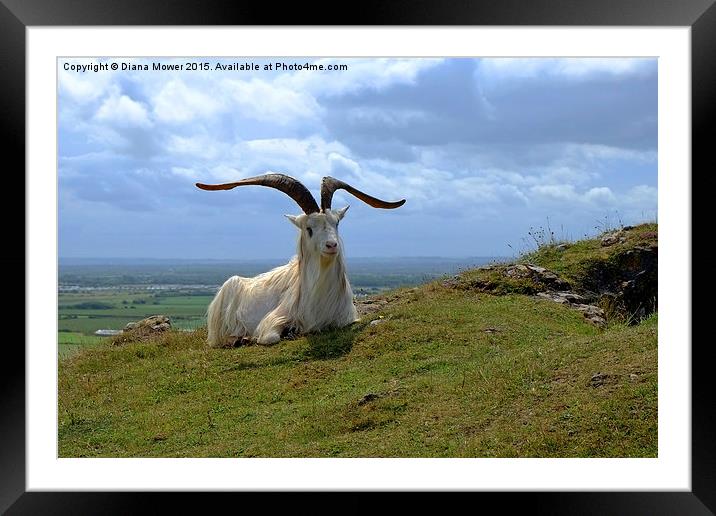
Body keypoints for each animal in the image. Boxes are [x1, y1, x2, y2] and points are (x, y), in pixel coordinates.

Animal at [194, 173, 402, 346]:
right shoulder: (273, 319)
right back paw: (238, 338)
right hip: (230, 289)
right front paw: (276, 334)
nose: (331, 245)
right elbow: (269, 337)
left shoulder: (346, 318)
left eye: (336, 223)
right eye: (309, 229)